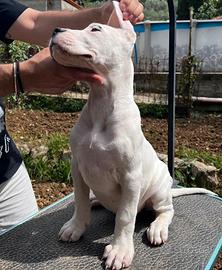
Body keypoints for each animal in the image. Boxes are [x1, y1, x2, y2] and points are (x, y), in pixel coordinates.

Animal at [49, 2, 216, 270]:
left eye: (95, 29)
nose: (55, 29)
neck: (101, 105)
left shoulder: (130, 177)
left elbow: (125, 217)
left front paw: (119, 250)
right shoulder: (78, 166)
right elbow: (80, 200)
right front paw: (76, 226)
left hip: (159, 190)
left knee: (166, 210)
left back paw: (157, 228)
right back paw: (96, 200)